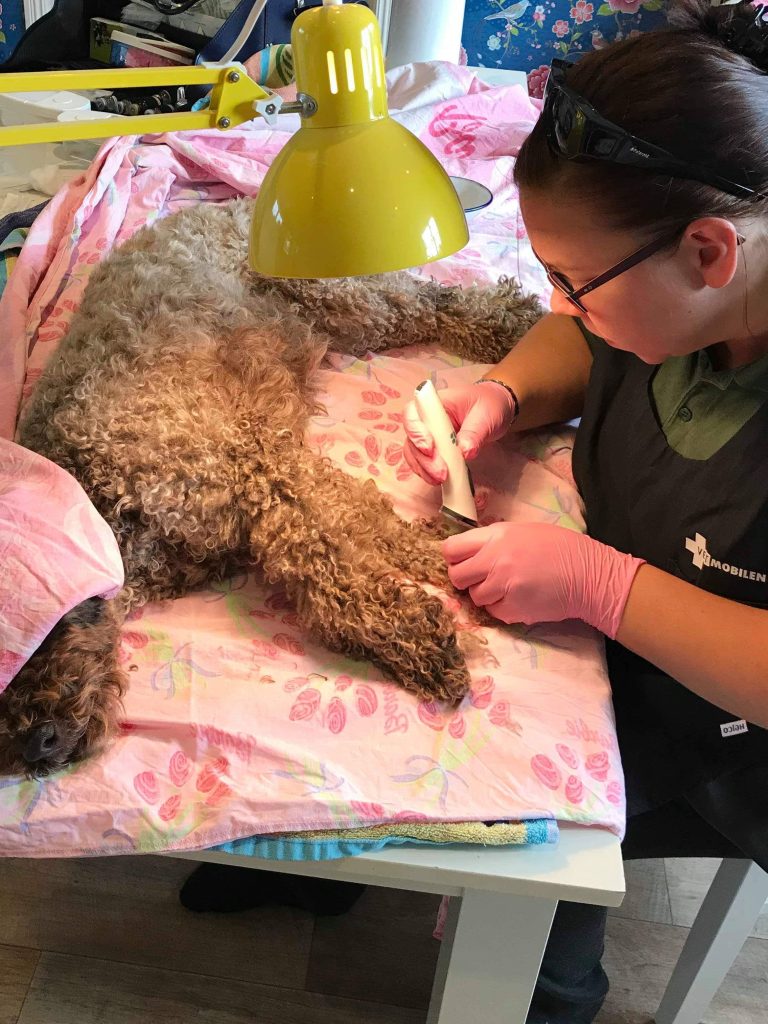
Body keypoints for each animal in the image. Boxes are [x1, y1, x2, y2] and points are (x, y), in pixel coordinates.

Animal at [3, 199, 540, 774]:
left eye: (35, 629)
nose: (33, 745)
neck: (104, 495)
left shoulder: (259, 465)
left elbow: (333, 560)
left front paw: (437, 599)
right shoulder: (265, 481)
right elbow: (361, 533)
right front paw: (443, 575)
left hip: (345, 301)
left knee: (431, 300)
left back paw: (516, 317)